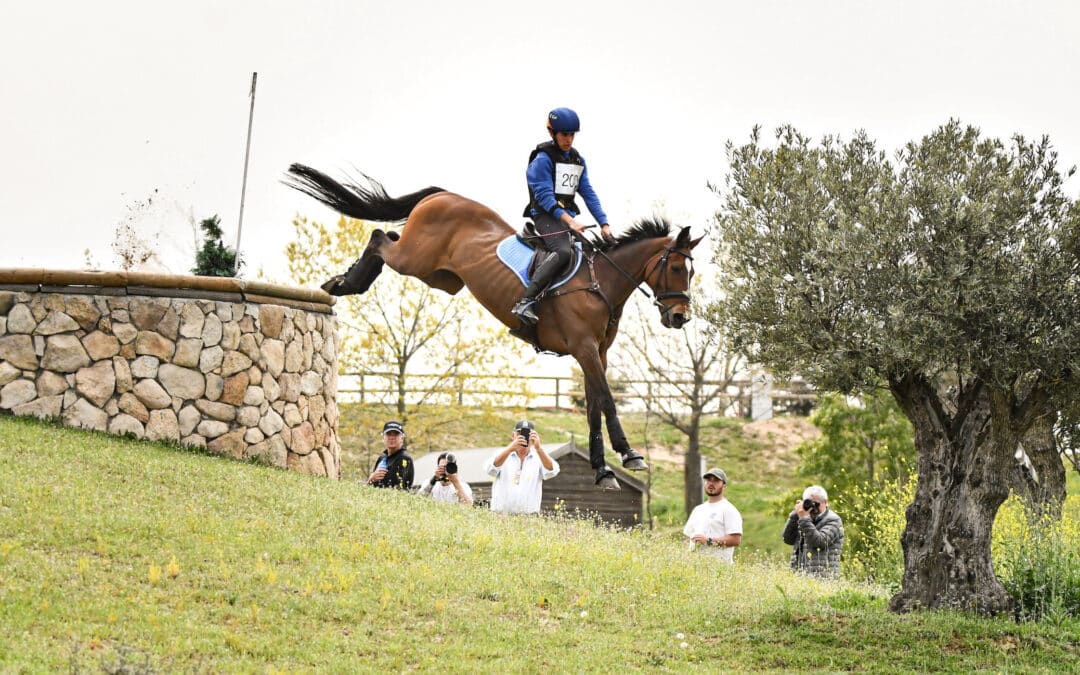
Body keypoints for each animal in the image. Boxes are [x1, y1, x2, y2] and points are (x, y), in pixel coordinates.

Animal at [282, 164, 699, 490]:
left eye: (692, 271)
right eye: (678, 268)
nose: (679, 317)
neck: (602, 284)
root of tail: (443, 195)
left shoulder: (595, 354)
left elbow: (594, 408)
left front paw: (602, 471)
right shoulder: (583, 349)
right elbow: (608, 402)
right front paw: (630, 455)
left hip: (441, 277)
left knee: (389, 240)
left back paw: (343, 281)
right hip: (415, 258)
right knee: (381, 239)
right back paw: (345, 283)